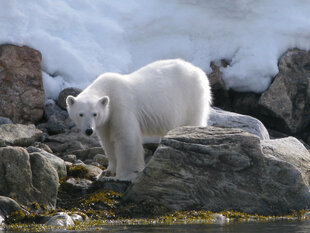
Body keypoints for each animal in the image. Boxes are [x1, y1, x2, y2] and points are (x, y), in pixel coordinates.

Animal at [65, 59, 211, 181]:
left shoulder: (121, 107)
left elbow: (126, 139)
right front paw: (108, 171)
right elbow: (107, 142)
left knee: (193, 120)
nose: (89, 130)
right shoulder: (105, 122)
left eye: (95, 114)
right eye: (80, 114)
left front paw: (125, 175)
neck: (108, 89)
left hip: (191, 98)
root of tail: (198, 71)